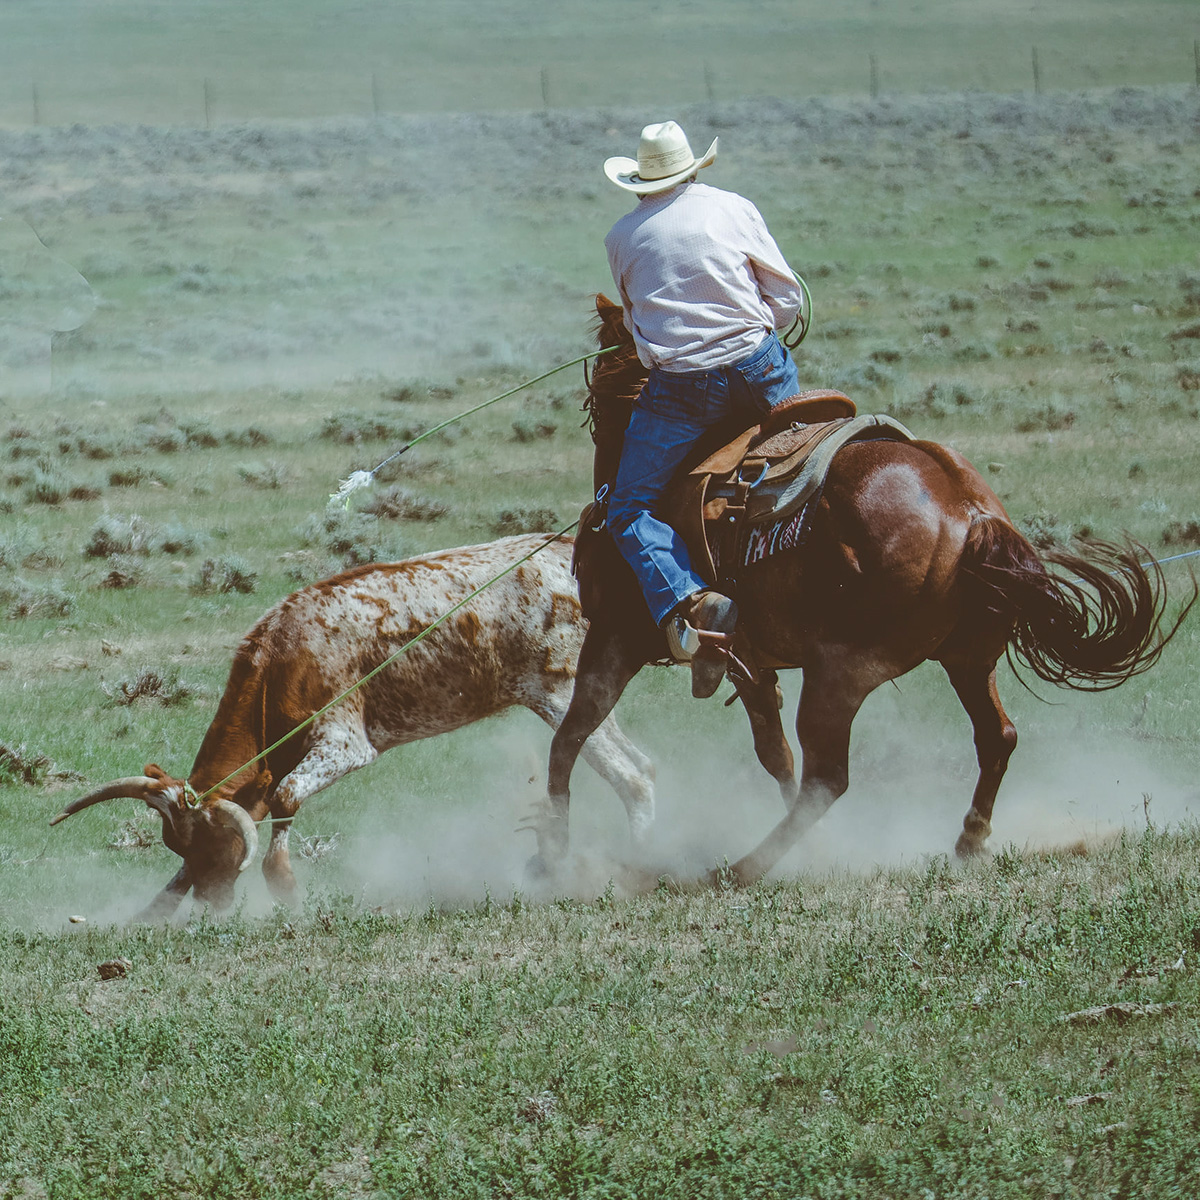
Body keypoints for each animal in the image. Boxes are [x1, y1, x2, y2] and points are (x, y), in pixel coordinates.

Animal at [540, 298, 1195, 883]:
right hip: (967, 657)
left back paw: (740, 868)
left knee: (829, 777)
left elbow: (570, 737)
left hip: (840, 672)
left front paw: (550, 853)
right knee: (996, 737)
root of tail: (968, 511)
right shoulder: (750, 663)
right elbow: (772, 753)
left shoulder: (615, 640)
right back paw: (967, 840)